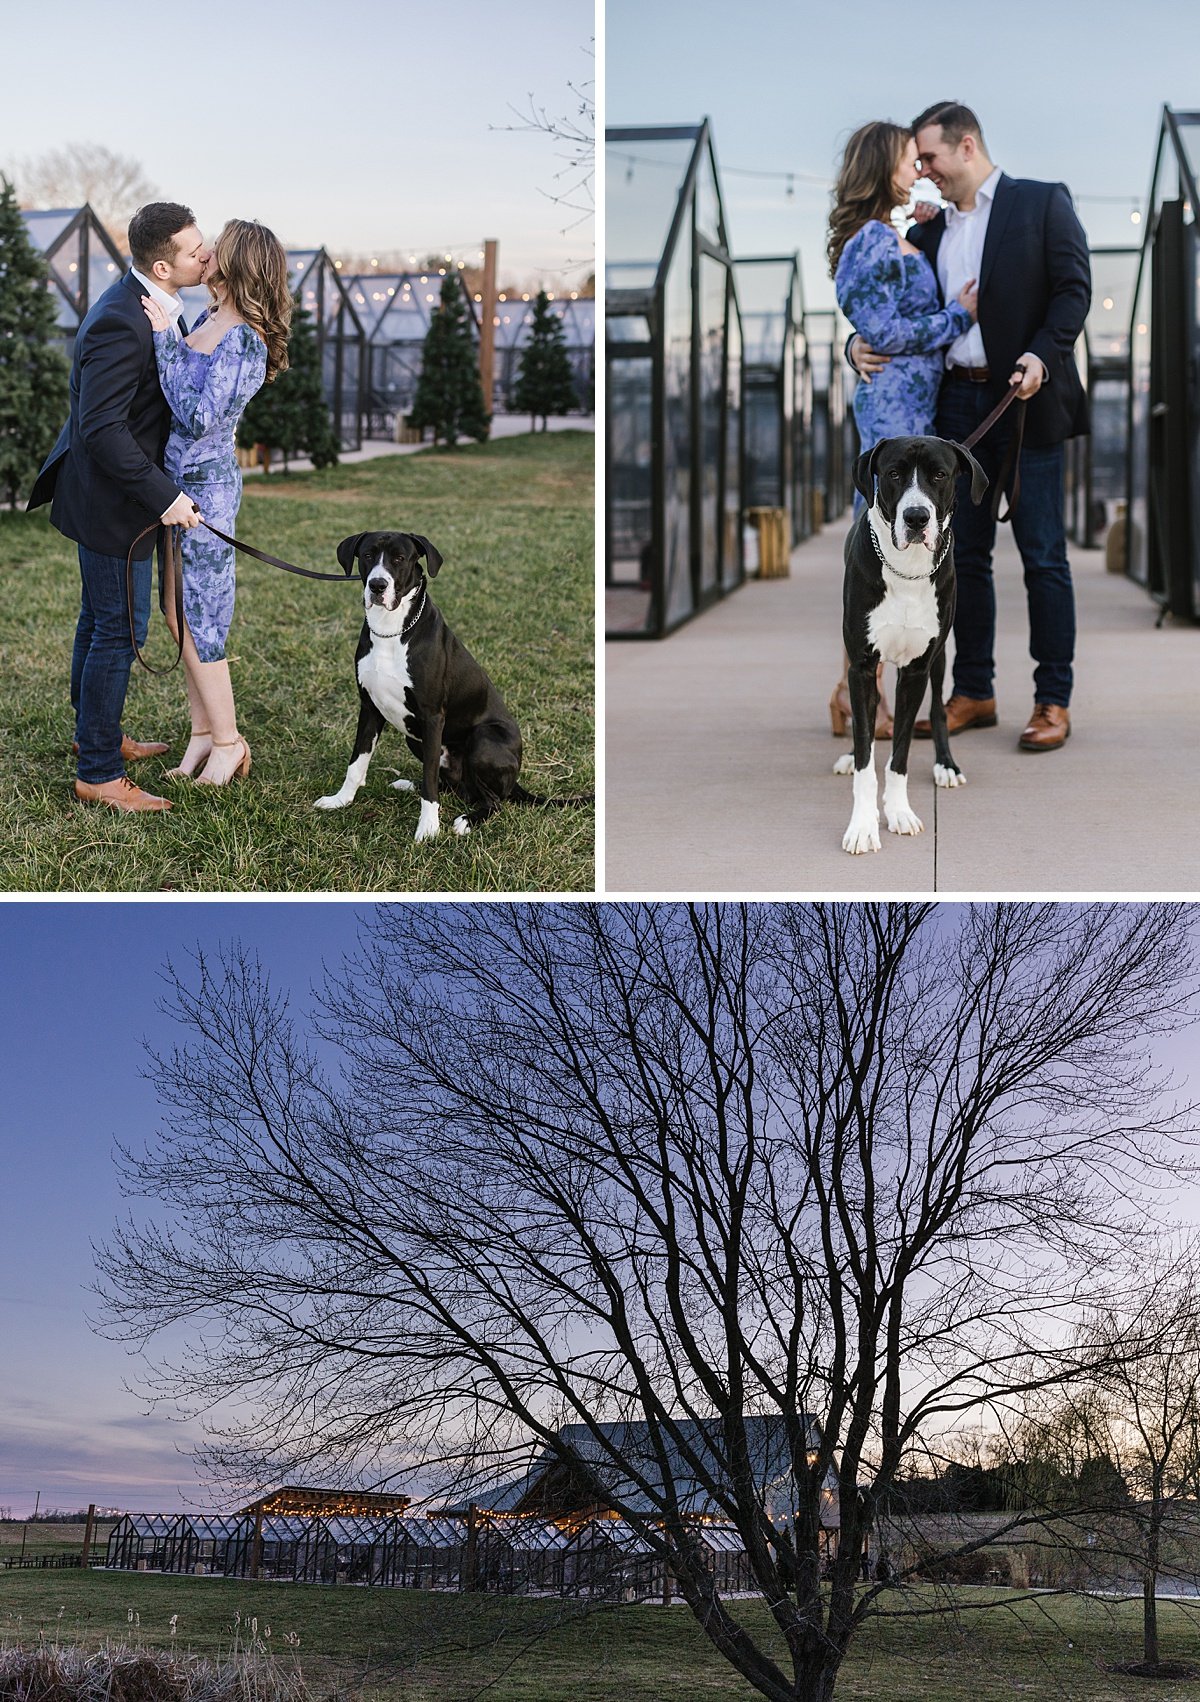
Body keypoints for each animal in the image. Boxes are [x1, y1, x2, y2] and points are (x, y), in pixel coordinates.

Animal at [837, 435, 987, 851]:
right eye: (893, 474)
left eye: (940, 474)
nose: (916, 517)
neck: (908, 570)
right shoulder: (861, 666)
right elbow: (866, 754)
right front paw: (863, 825)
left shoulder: (917, 670)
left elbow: (899, 756)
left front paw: (899, 812)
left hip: (940, 659)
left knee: (937, 710)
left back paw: (946, 764)